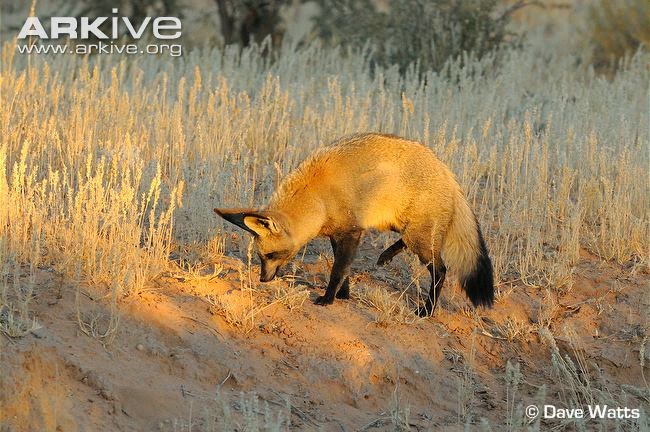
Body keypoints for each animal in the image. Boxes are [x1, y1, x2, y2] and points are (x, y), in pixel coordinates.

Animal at [213, 133, 492, 316]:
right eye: (261, 258)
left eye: (270, 255)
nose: (263, 279)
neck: (318, 198)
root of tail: (448, 173)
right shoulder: (337, 234)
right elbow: (343, 269)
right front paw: (342, 295)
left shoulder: (351, 232)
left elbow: (338, 270)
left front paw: (327, 299)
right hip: (406, 228)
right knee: (406, 242)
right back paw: (386, 255)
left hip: (420, 239)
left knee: (441, 271)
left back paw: (427, 310)